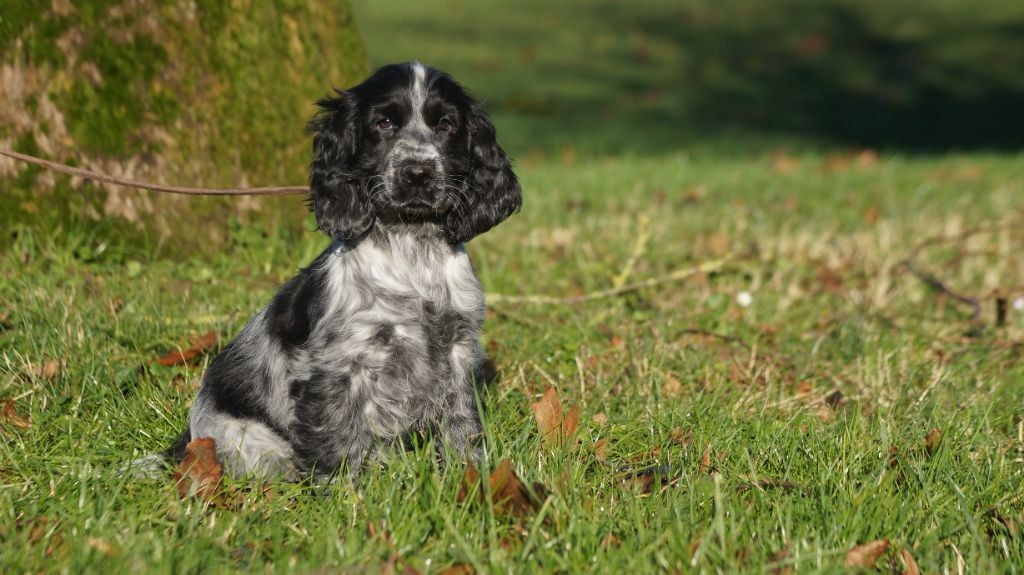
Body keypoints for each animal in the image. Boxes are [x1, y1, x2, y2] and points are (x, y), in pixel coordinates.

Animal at [166, 61, 524, 478]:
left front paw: (469, 475)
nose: (418, 172)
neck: (412, 250)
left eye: (446, 125)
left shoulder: (458, 348)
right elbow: (333, 435)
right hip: (254, 444)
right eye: (384, 122)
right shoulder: (337, 363)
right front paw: (345, 490)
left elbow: (461, 423)